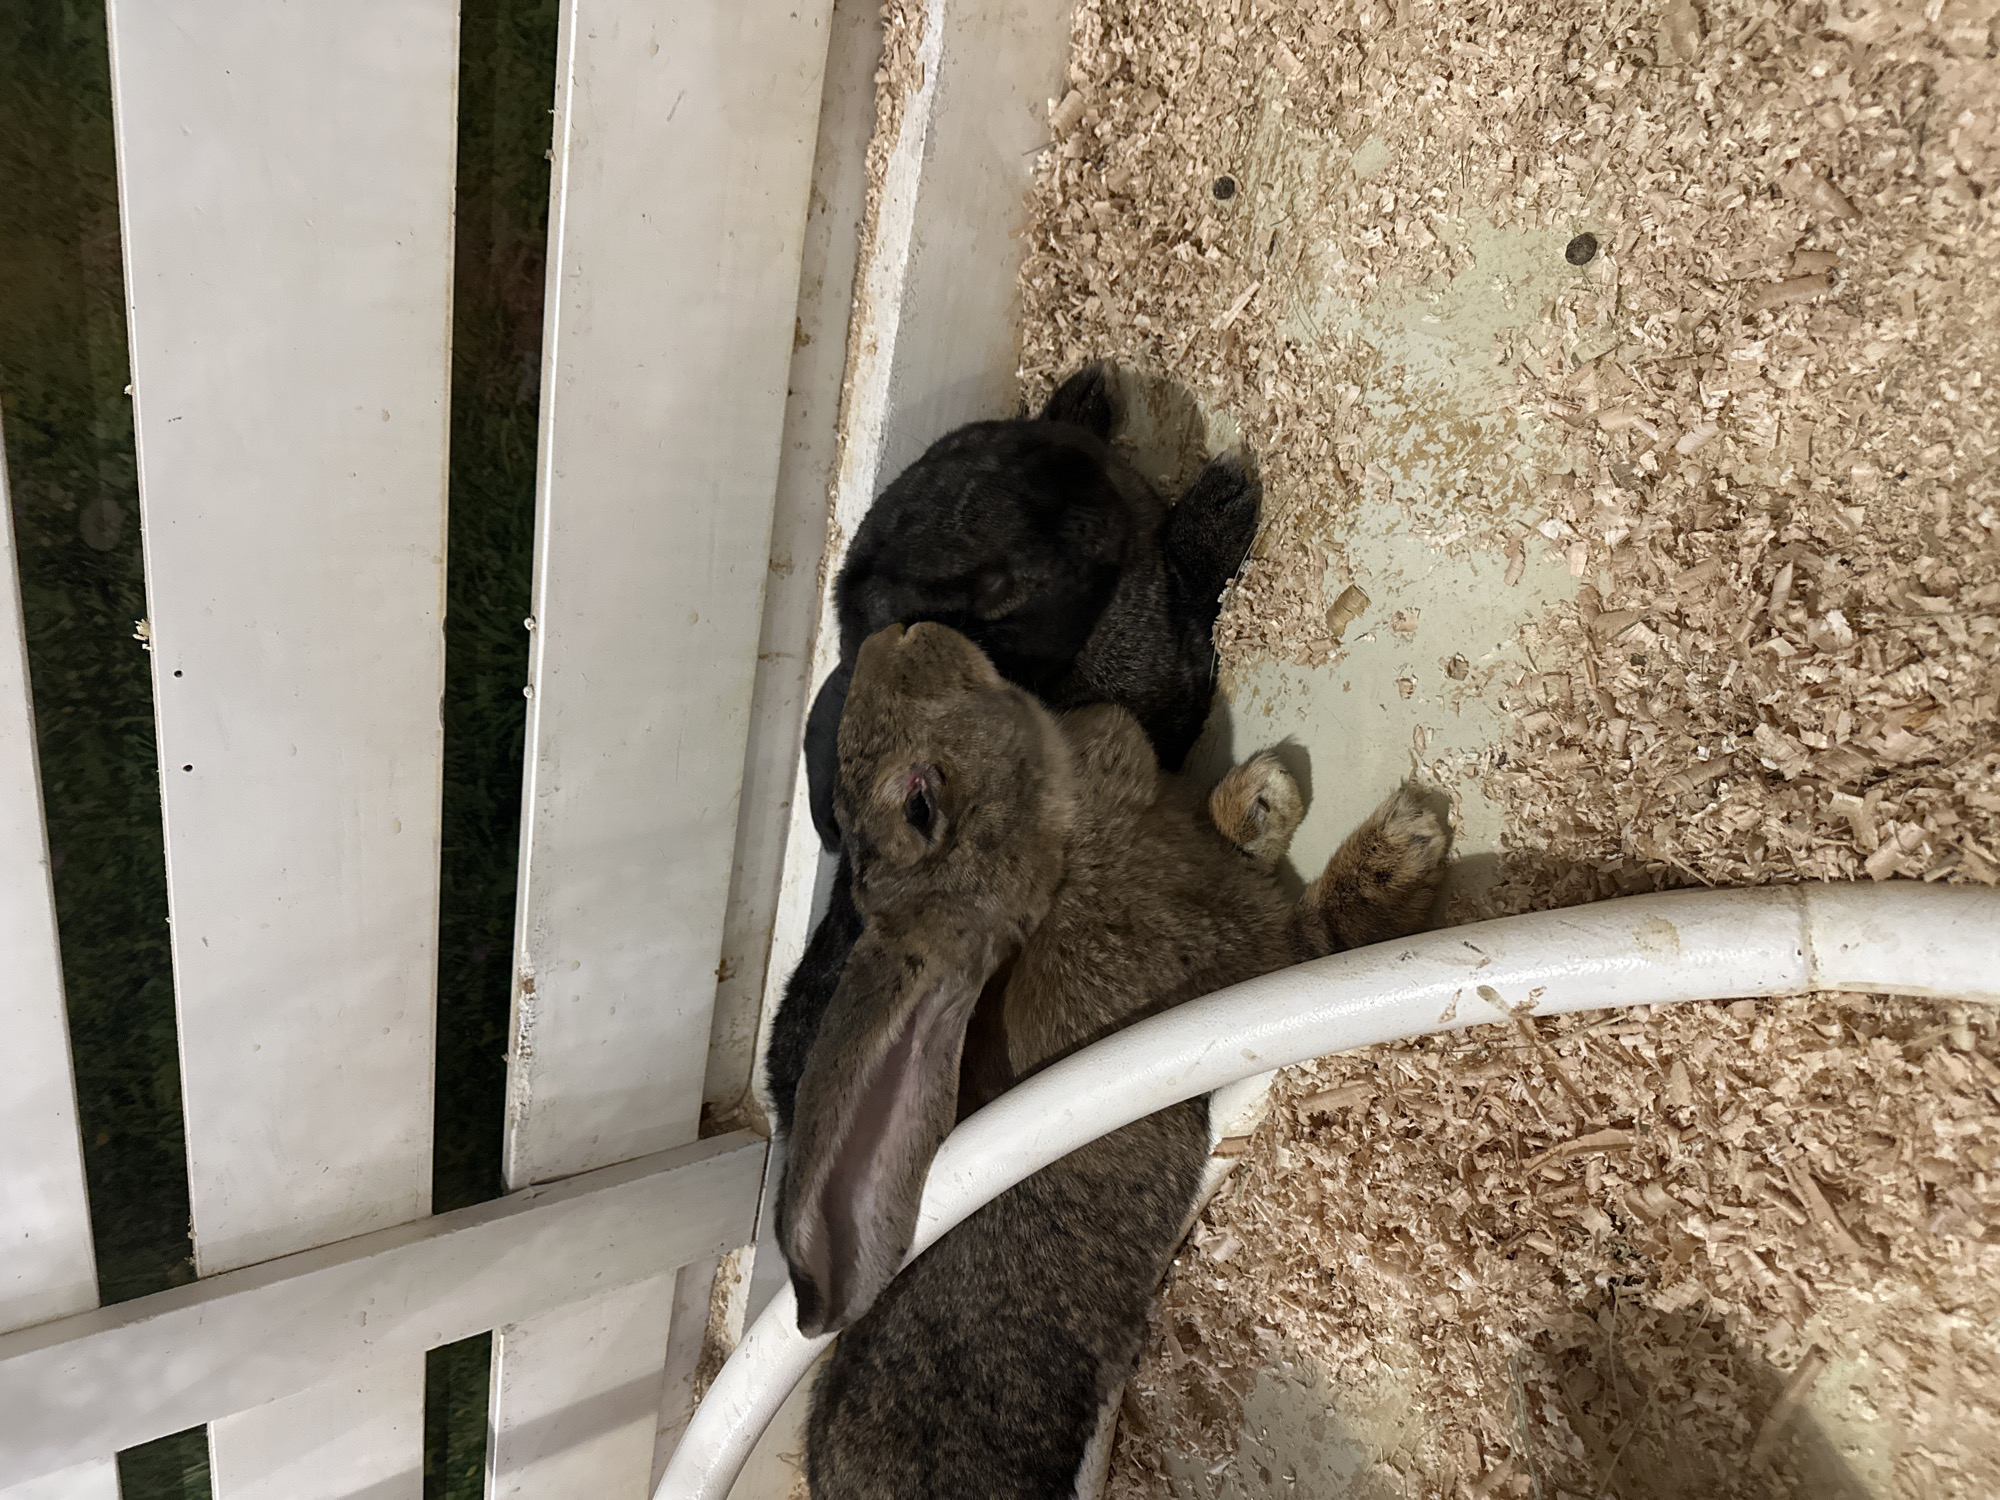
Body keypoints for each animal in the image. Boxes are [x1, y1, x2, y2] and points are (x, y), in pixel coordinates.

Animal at [766, 362, 1259, 1142]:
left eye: (963, 445)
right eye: (1005, 578)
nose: (1069, 460)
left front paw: (1086, 396)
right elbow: (1193, 583)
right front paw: (1225, 499)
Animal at [779, 622, 1448, 1500]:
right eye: (919, 804)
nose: (902, 635)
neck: (1063, 859)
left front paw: (1260, 794)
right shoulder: (1252, 964)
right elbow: (1327, 932)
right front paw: (1404, 842)